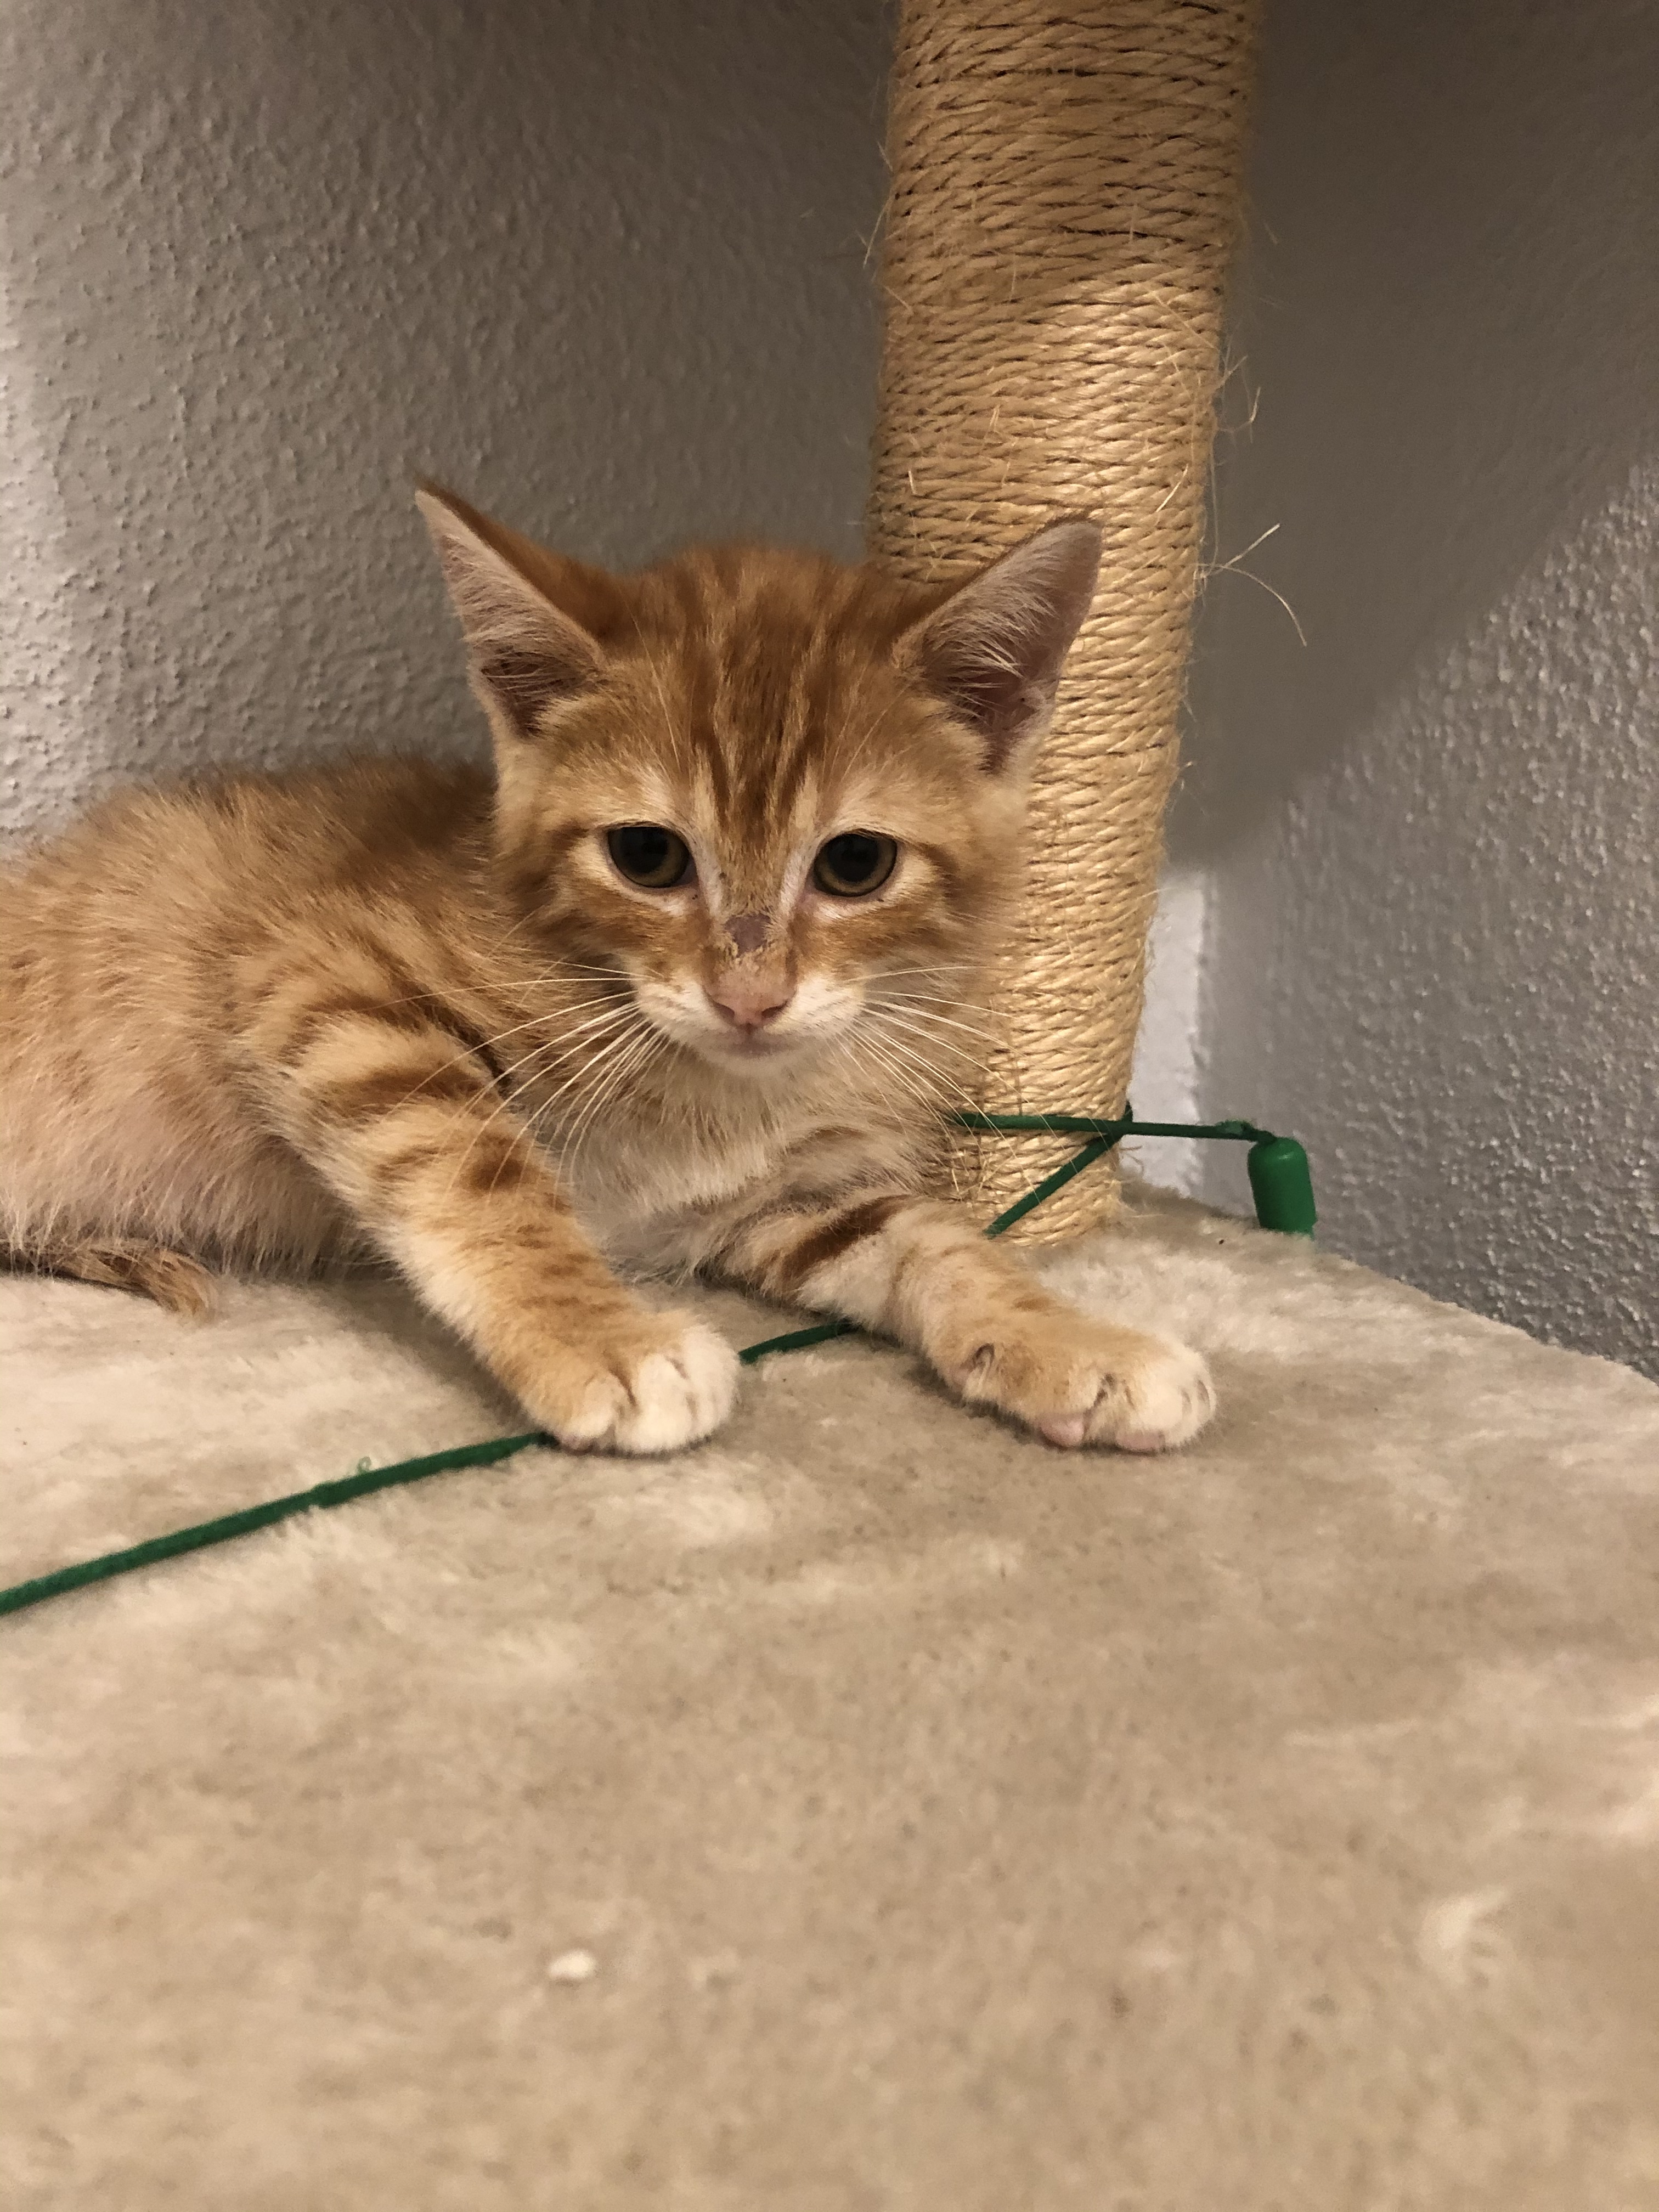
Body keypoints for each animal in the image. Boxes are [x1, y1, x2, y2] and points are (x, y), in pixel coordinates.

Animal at [3, 487, 1221, 1460]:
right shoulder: (322, 987)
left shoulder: (789, 1200)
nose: (749, 997)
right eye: (646, 855)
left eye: (856, 865)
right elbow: (479, 1173)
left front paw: (1069, 1340)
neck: (714, 1090)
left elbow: (936, 1243)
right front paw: (603, 1339)